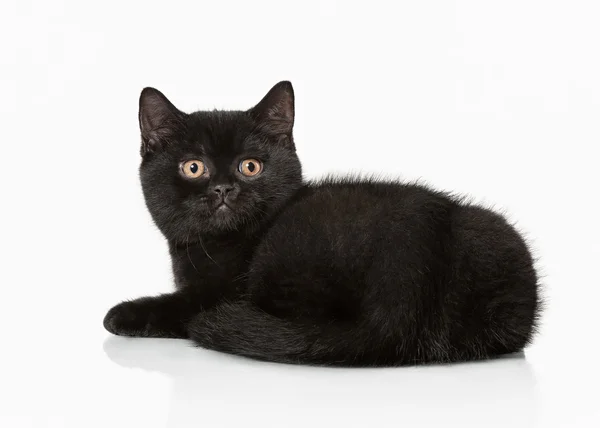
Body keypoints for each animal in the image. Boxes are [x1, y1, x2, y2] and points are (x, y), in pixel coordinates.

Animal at [105, 82, 540, 366]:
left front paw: (121, 315)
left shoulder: (217, 291)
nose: (224, 189)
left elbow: (179, 304)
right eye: (193, 167)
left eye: (251, 166)